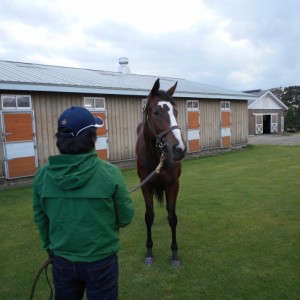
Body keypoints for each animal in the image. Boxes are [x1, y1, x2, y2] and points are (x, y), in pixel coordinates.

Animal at [137, 78, 188, 268]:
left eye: (176, 111)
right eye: (156, 112)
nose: (179, 149)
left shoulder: (173, 185)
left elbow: (172, 217)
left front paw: (174, 254)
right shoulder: (146, 186)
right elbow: (149, 216)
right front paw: (149, 253)